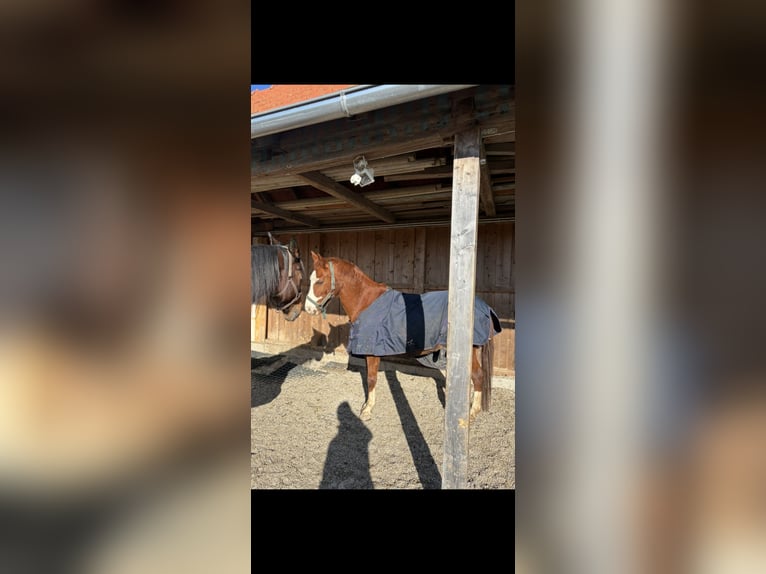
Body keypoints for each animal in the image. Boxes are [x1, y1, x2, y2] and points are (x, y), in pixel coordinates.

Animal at [304, 251, 502, 421]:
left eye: (320, 281)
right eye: (311, 279)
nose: (308, 309)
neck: (366, 301)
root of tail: (483, 305)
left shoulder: (372, 353)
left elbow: (371, 379)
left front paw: (367, 410)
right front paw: (367, 406)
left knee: (477, 375)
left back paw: (472, 411)